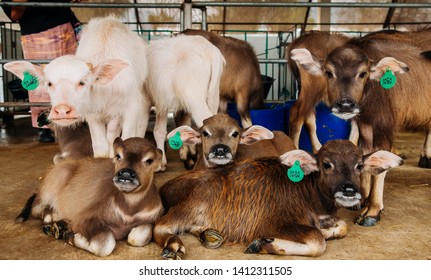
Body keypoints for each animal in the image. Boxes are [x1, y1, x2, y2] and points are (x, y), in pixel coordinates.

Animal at [15, 137, 164, 258]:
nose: (126, 174)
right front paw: (69, 236)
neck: (129, 210)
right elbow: (106, 243)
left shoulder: (150, 219)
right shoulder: (86, 218)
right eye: (118, 155)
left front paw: (66, 232)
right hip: (53, 184)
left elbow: (138, 238)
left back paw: (60, 226)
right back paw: (50, 227)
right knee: (41, 208)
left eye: (149, 160)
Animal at [145, 35, 226, 171]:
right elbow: (160, 131)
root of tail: (209, 49)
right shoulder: (162, 102)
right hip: (213, 94)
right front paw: (162, 163)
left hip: (193, 95)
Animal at [154, 139, 404, 260]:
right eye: (326, 164)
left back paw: (209, 235)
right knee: (162, 227)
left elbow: (342, 227)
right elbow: (316, 241)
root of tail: (167, 185)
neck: (309, 194)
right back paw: (174, 247)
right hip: (194, 201)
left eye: (359, 165)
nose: (349, 190)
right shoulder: (272, 223)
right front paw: (264, 244)